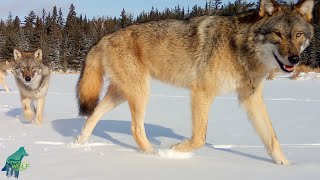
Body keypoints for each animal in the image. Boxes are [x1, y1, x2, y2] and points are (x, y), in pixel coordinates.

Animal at [75, 0, 316, 165]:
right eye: (277, 34)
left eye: (298, 35)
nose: (294, 59)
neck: (240, 47)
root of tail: (104, 38)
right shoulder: (202, 92)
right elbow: (200, 137)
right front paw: (175, 150)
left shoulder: (251, 98)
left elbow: (272, 138)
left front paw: (287, 166)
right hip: (141, 92)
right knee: (135, 128)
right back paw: (155, 154)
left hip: (121, 94)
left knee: (93, 115)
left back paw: (78, 143)